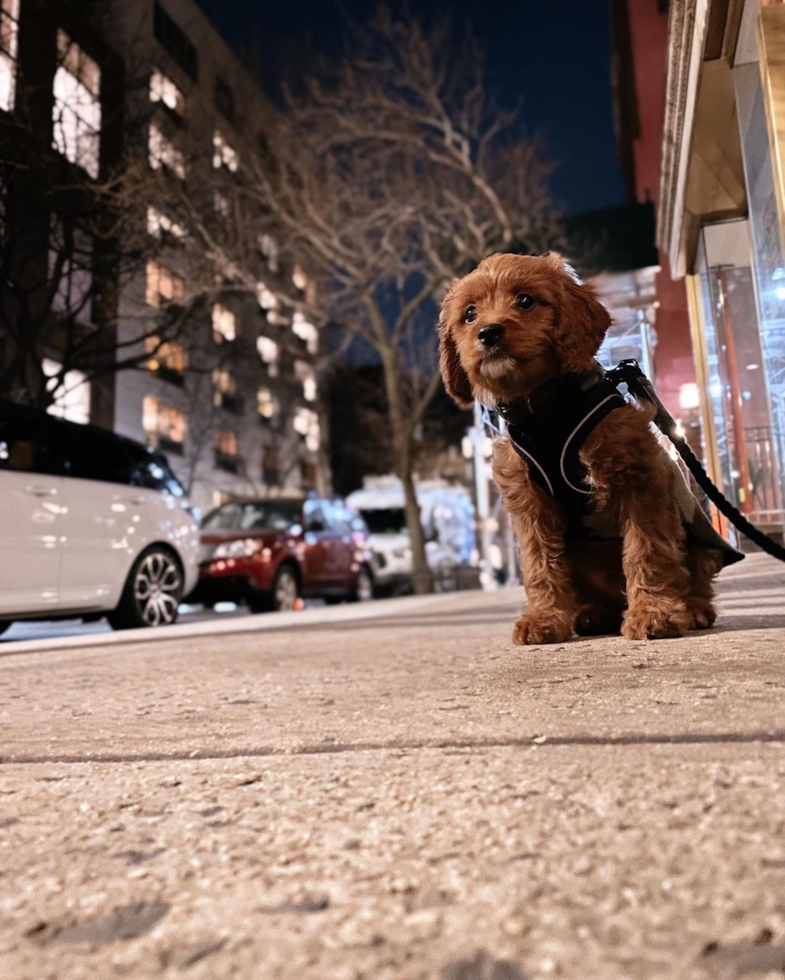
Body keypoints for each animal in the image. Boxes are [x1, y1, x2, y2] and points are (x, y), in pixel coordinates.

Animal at [438, 253, 732, 644]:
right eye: (469, 314)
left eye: (526, 301)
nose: (488, 332)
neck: (547, 411)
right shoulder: (529, 504)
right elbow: (539, 562)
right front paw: (544, 618)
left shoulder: (639, 480)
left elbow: (648, 550)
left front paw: (653, 612)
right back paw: (593, 613)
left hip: (701, 542)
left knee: (697, 575)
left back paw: (694, 608)